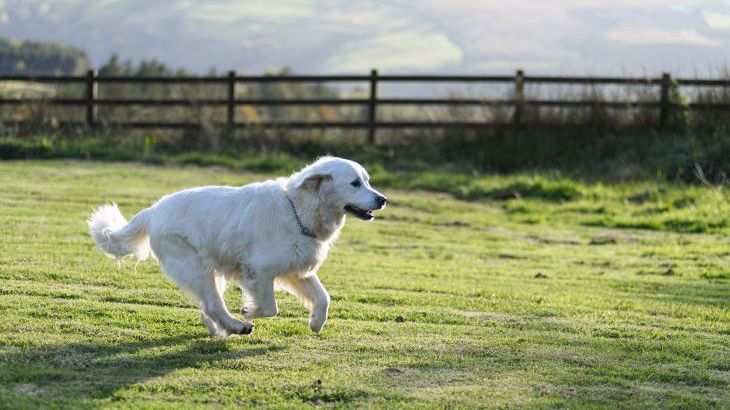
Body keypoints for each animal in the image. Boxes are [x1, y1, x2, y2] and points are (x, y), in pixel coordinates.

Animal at [88, 157, 386, 336]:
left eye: (367, 181)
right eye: (355, 183)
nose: (383, 199)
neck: (298, 210)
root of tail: (154, 210)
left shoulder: (298, 271)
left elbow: (324, 298)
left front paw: (316, 322)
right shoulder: (259, 272)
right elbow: (270, 307)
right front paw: (248, 311)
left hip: (212, 271)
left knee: (208, 308)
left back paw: (222, 329)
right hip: (196, 269)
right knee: (213, 305)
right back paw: (237, 326)